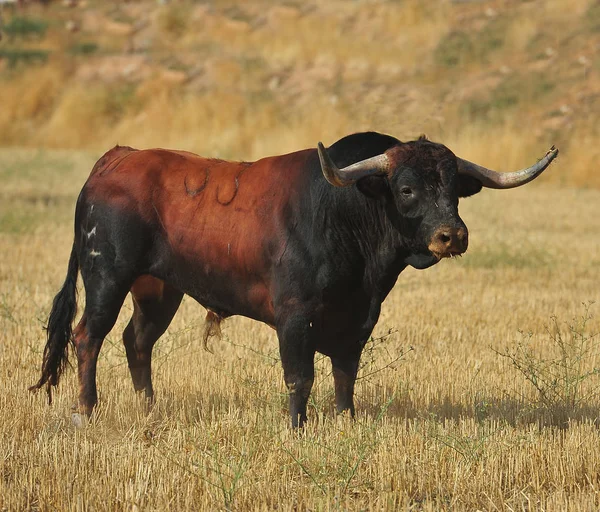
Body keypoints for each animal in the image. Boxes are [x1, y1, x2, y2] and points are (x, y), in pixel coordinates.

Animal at [30, 133, 556, 428]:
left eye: (454, 190)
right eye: (406, 189)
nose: (453, 235)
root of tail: (116, 159)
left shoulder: (357, 322)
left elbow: (345, 376)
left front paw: (346, 423)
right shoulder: (295, 316)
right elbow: (299, 376)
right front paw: (297, 430)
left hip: (158, 289)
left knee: (136, 341)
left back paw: (149, 411)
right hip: (106, 275)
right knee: (88, 336)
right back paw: (84, 412)